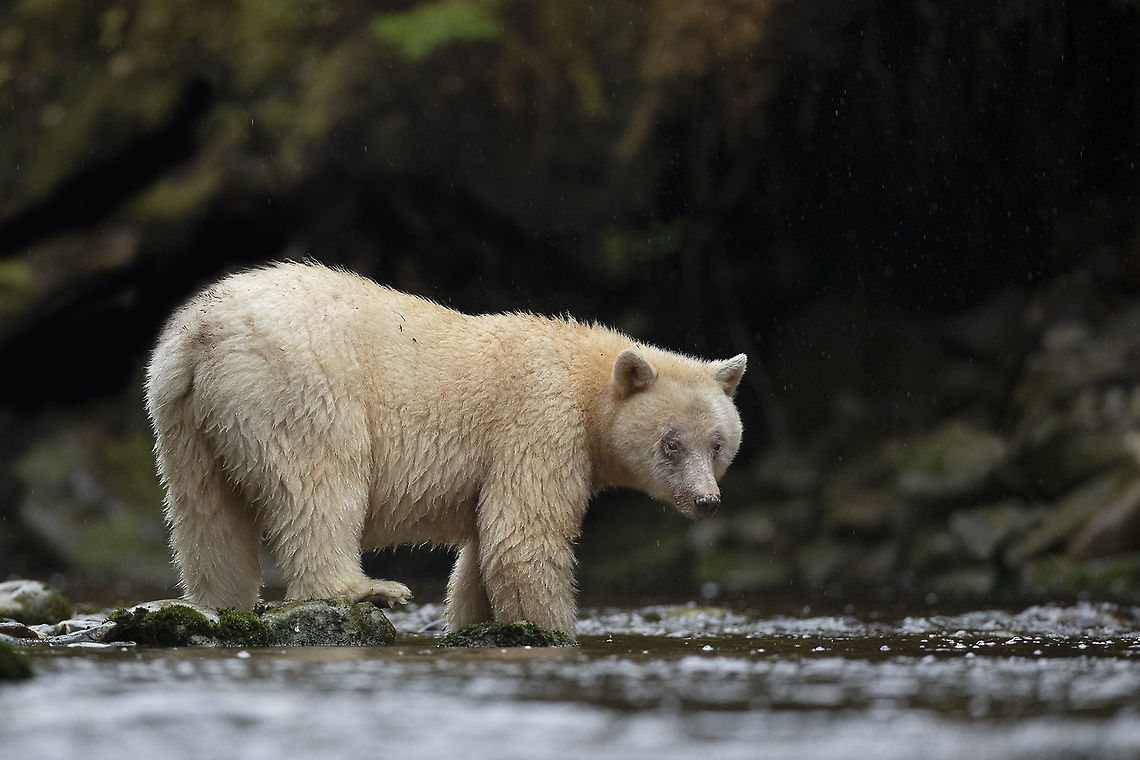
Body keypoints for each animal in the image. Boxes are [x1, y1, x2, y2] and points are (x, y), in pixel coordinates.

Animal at [145, 261, 746, 637]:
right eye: (672, 444)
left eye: (718, 445)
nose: (707, 501)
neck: (584, 377)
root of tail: (202, 333)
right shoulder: (540, 423)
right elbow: (522, 538)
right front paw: (553, 629)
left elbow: (483, 550)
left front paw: (471, 621)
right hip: (300, 386)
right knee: (321, 483)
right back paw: (366, 589)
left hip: (185, 414)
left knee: (207, 514)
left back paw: (218, 603)